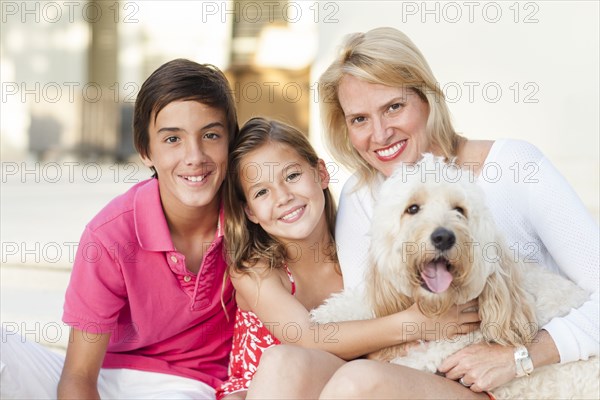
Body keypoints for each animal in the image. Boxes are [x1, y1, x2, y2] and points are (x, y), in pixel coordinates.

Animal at [312, 155, 596, 398]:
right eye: (412, 208)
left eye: (459, 210)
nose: (443, 237)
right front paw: (327, 315)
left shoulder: (444, 349)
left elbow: (408, 361)